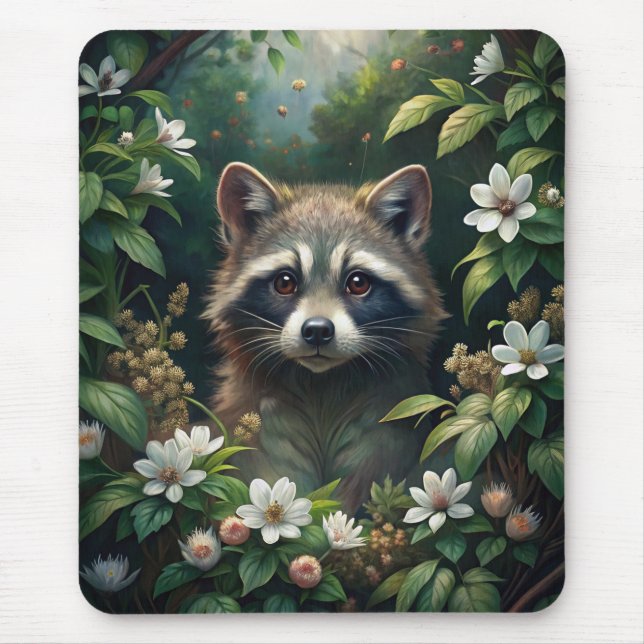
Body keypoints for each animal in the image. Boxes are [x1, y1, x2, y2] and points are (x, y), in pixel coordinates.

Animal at [203, 162, 447, 512]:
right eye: (285, 282)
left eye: (358, 283)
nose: (317, 330)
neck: (321, 385)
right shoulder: (257, 421)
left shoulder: (388, 420)